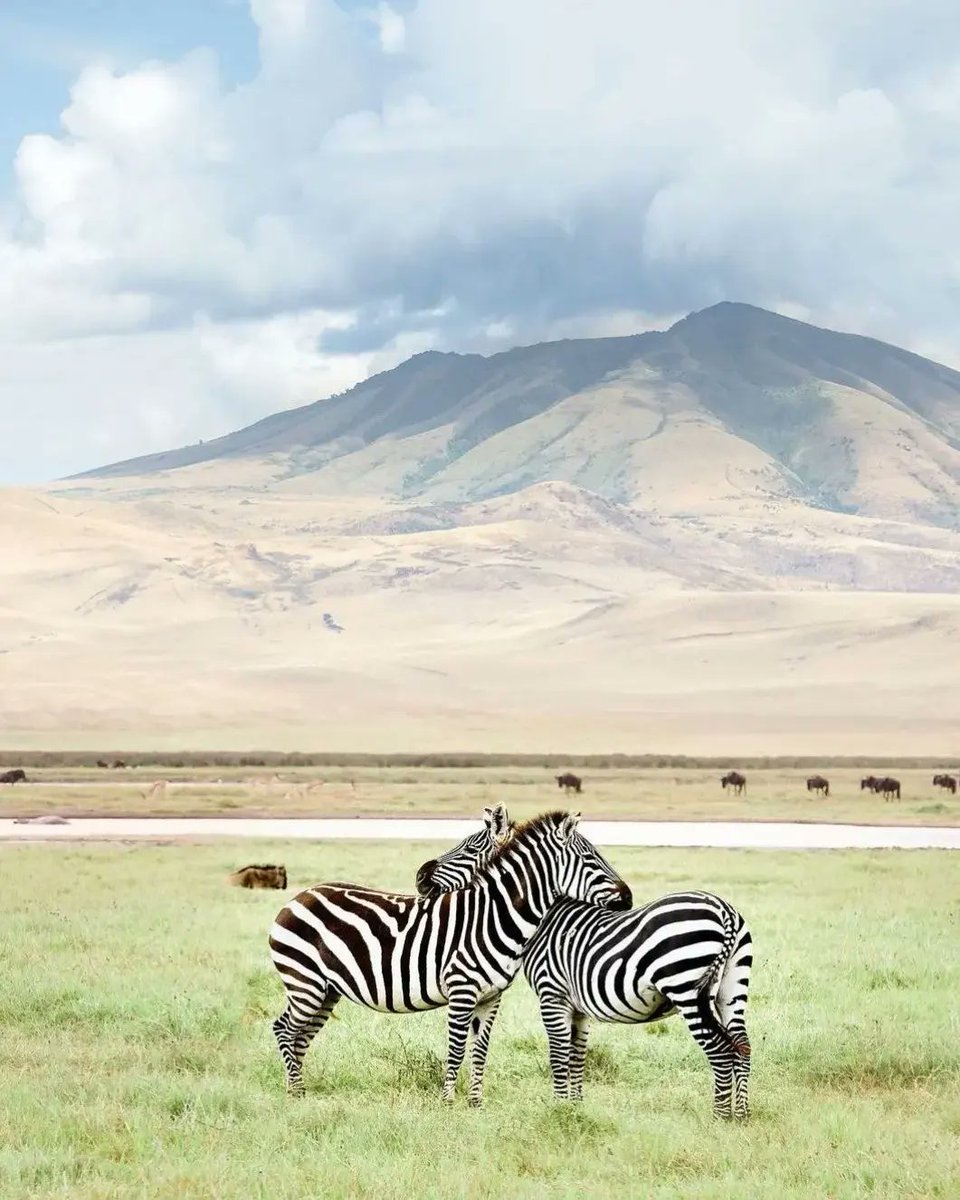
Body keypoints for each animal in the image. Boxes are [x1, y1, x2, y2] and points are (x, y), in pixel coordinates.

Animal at [269, 810, 631, 1107]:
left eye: (469, 849)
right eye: (591, 857)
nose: (628, 898)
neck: (494, 916)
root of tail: (297, 897)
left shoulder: (492, 996)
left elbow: (480, 1051)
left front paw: (475, 1103)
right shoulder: (462, 989)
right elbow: (456, 1049)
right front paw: (447, 1103)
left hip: (326, 990)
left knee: (300, 1036)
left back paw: (297, 1090)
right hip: (305, 981)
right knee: (283, 1029)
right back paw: (296, 1094)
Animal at [417, 808, 754, 1120]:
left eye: (469, 849)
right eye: (592, 856)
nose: (420, 877)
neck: (547, 919)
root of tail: (724, 912)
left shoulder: (552, 995)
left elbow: (558, 1056)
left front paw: (558, 1109)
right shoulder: (579, 1007)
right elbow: (577, 1058)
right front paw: (574, 1108)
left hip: (686, 989)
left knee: (721, 1052)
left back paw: (719, 1118)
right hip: (732, 990)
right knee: (742, 1048)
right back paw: (741, 1115)